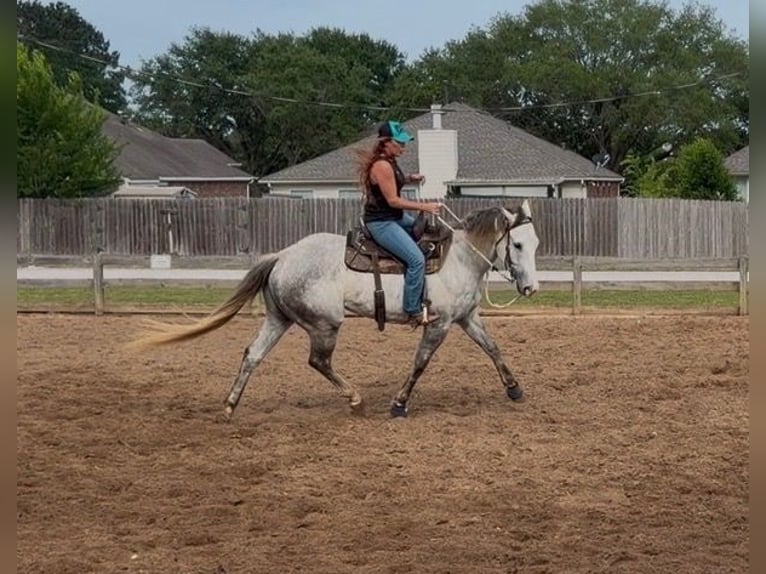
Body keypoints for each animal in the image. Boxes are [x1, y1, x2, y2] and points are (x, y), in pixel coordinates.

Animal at [130, 200, 540, 418]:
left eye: (534, 242)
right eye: (517, 244)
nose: (531, 288)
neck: (459, 259)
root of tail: (283, 256)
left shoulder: (467, 318)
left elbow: (493, 349)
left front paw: (515, 389)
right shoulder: (437, 324)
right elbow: (421, 363)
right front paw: (398, 403)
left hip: (278, 320)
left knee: (253, 354)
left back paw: (231, 405)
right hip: (325, 324)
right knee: (318, 361)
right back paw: (355, 398)